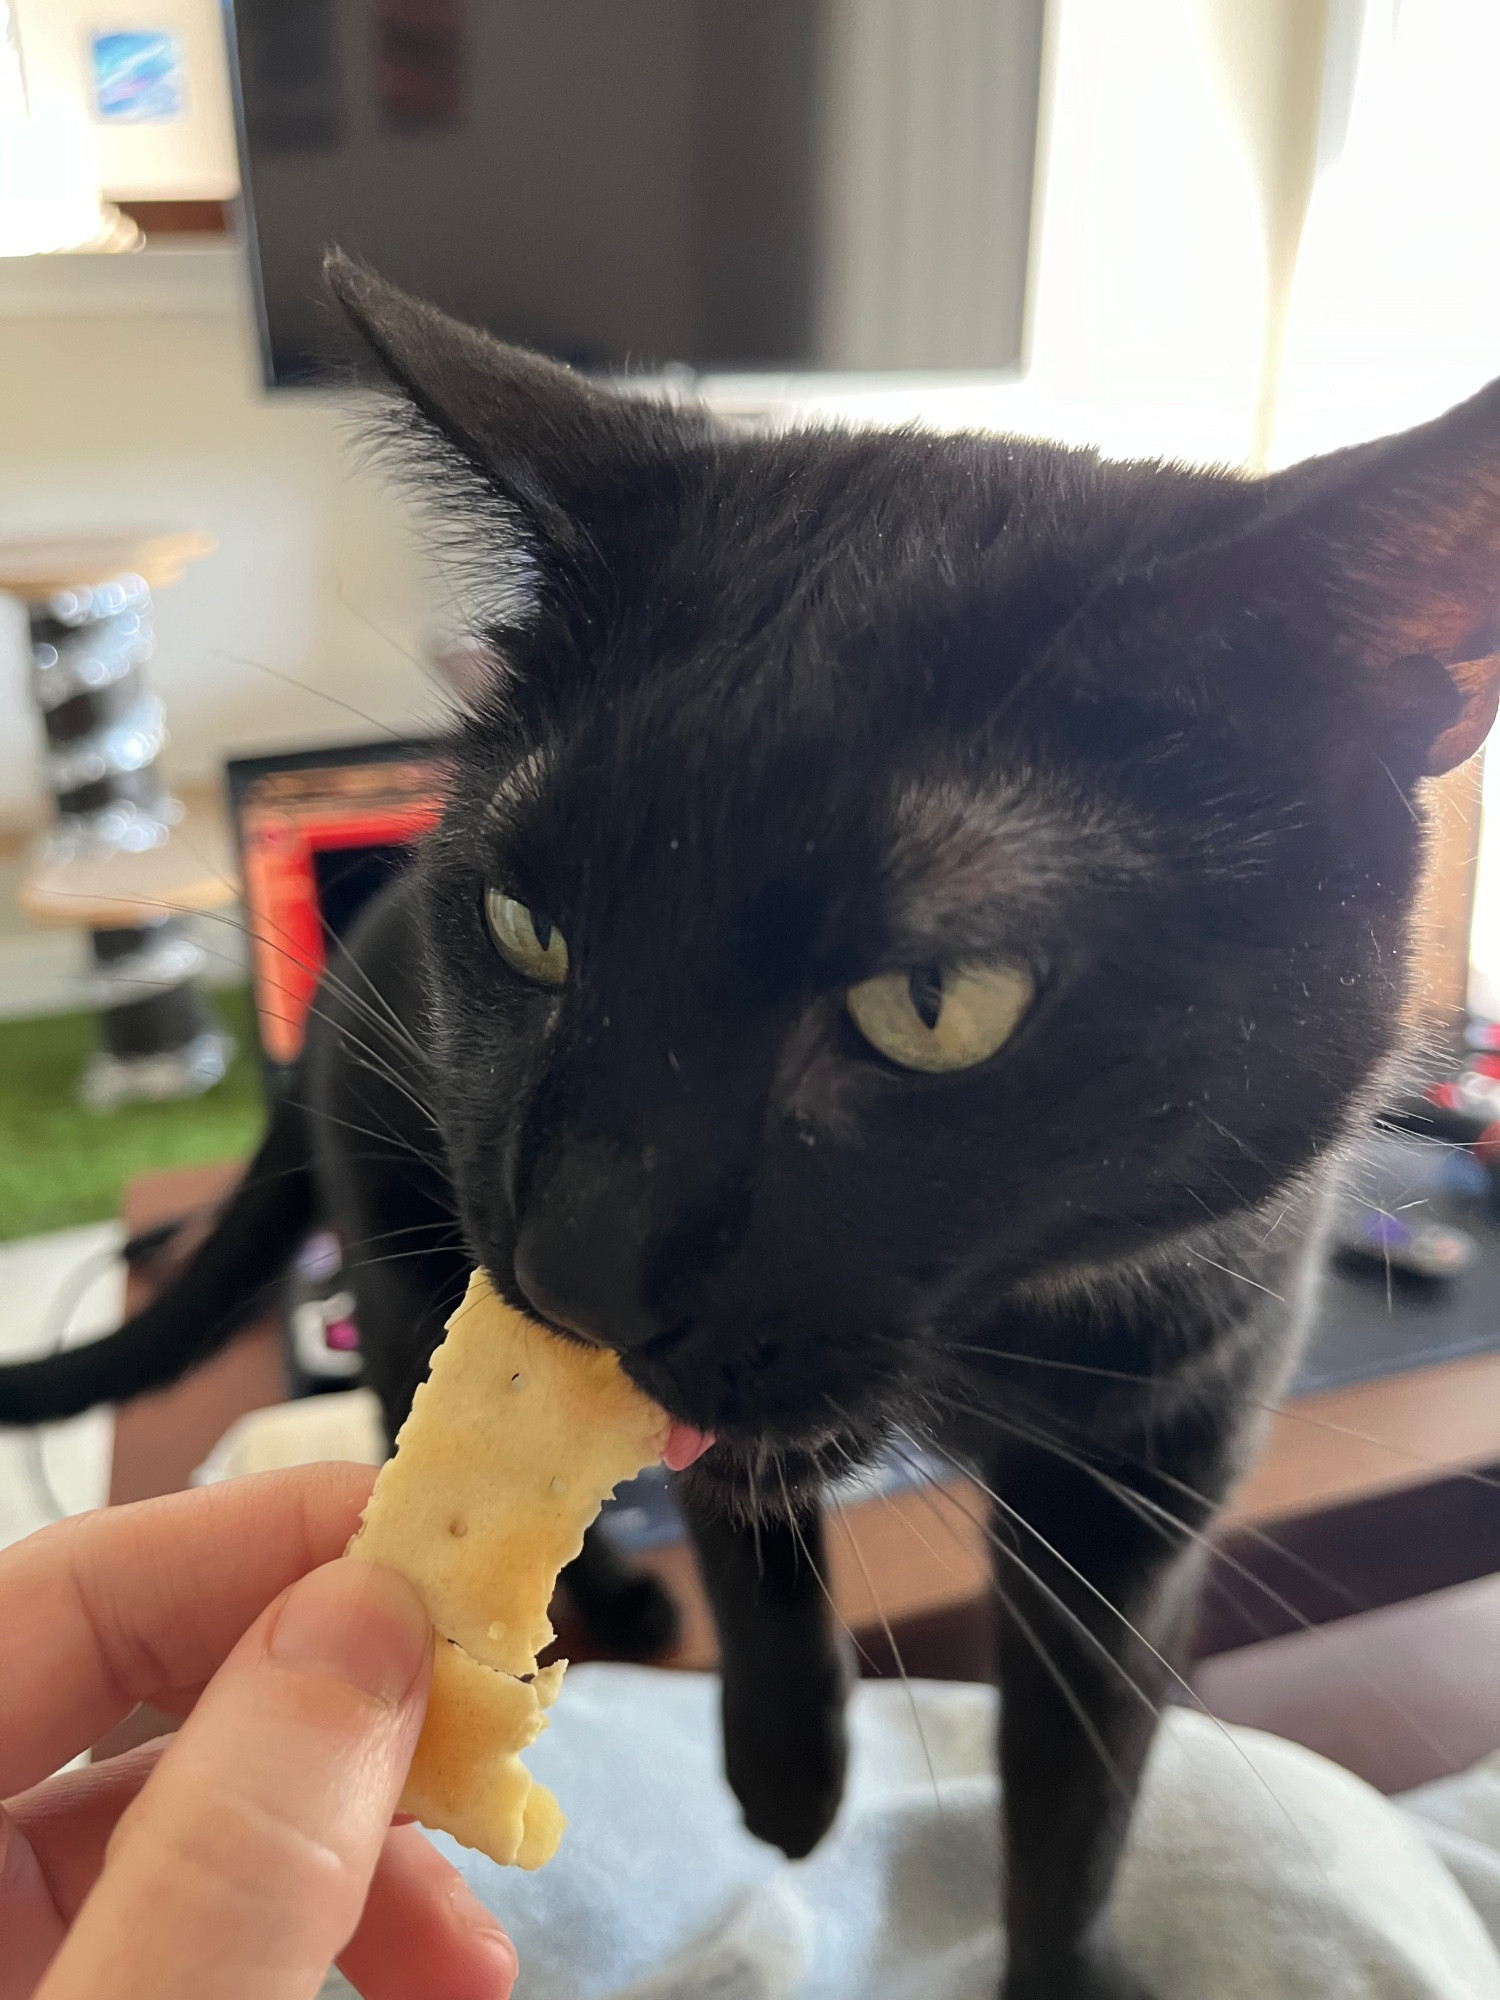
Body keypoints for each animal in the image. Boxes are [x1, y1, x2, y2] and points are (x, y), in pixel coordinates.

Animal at [5, 254, 1496, 2000]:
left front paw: (1059, 1957)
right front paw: (787, 1778)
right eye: (526, 930)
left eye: (935, 1005)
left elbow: (1081, 1795)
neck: (994, 1361)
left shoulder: (1153, 1486)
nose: (576, 1266)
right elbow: (742, 1516)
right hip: (398, 1258)